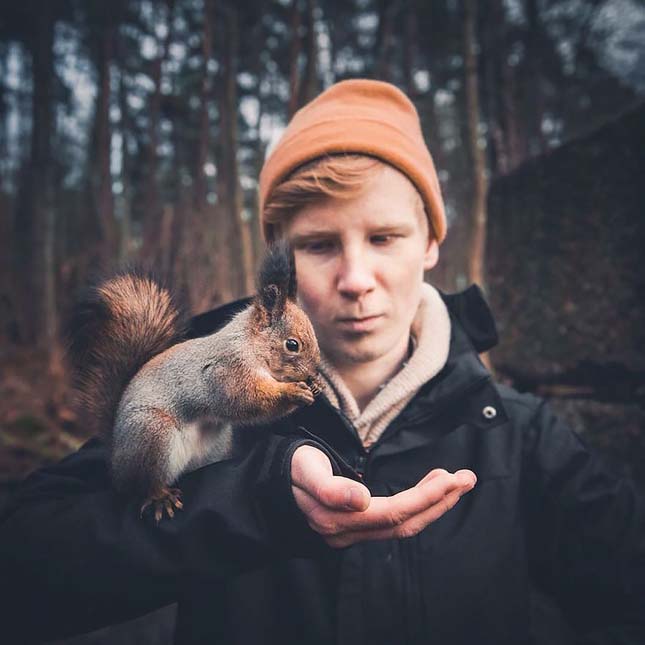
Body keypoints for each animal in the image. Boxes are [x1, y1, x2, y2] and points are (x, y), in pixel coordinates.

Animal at [68, 244, 320, 520]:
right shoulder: (226, 372)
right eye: (292, 345)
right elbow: (246, 401)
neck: (251, 347)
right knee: (141, 484)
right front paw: (293, 392)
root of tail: (115, 459)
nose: (314, 372)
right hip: (152, 434)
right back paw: (159, 497)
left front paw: (316, 385)